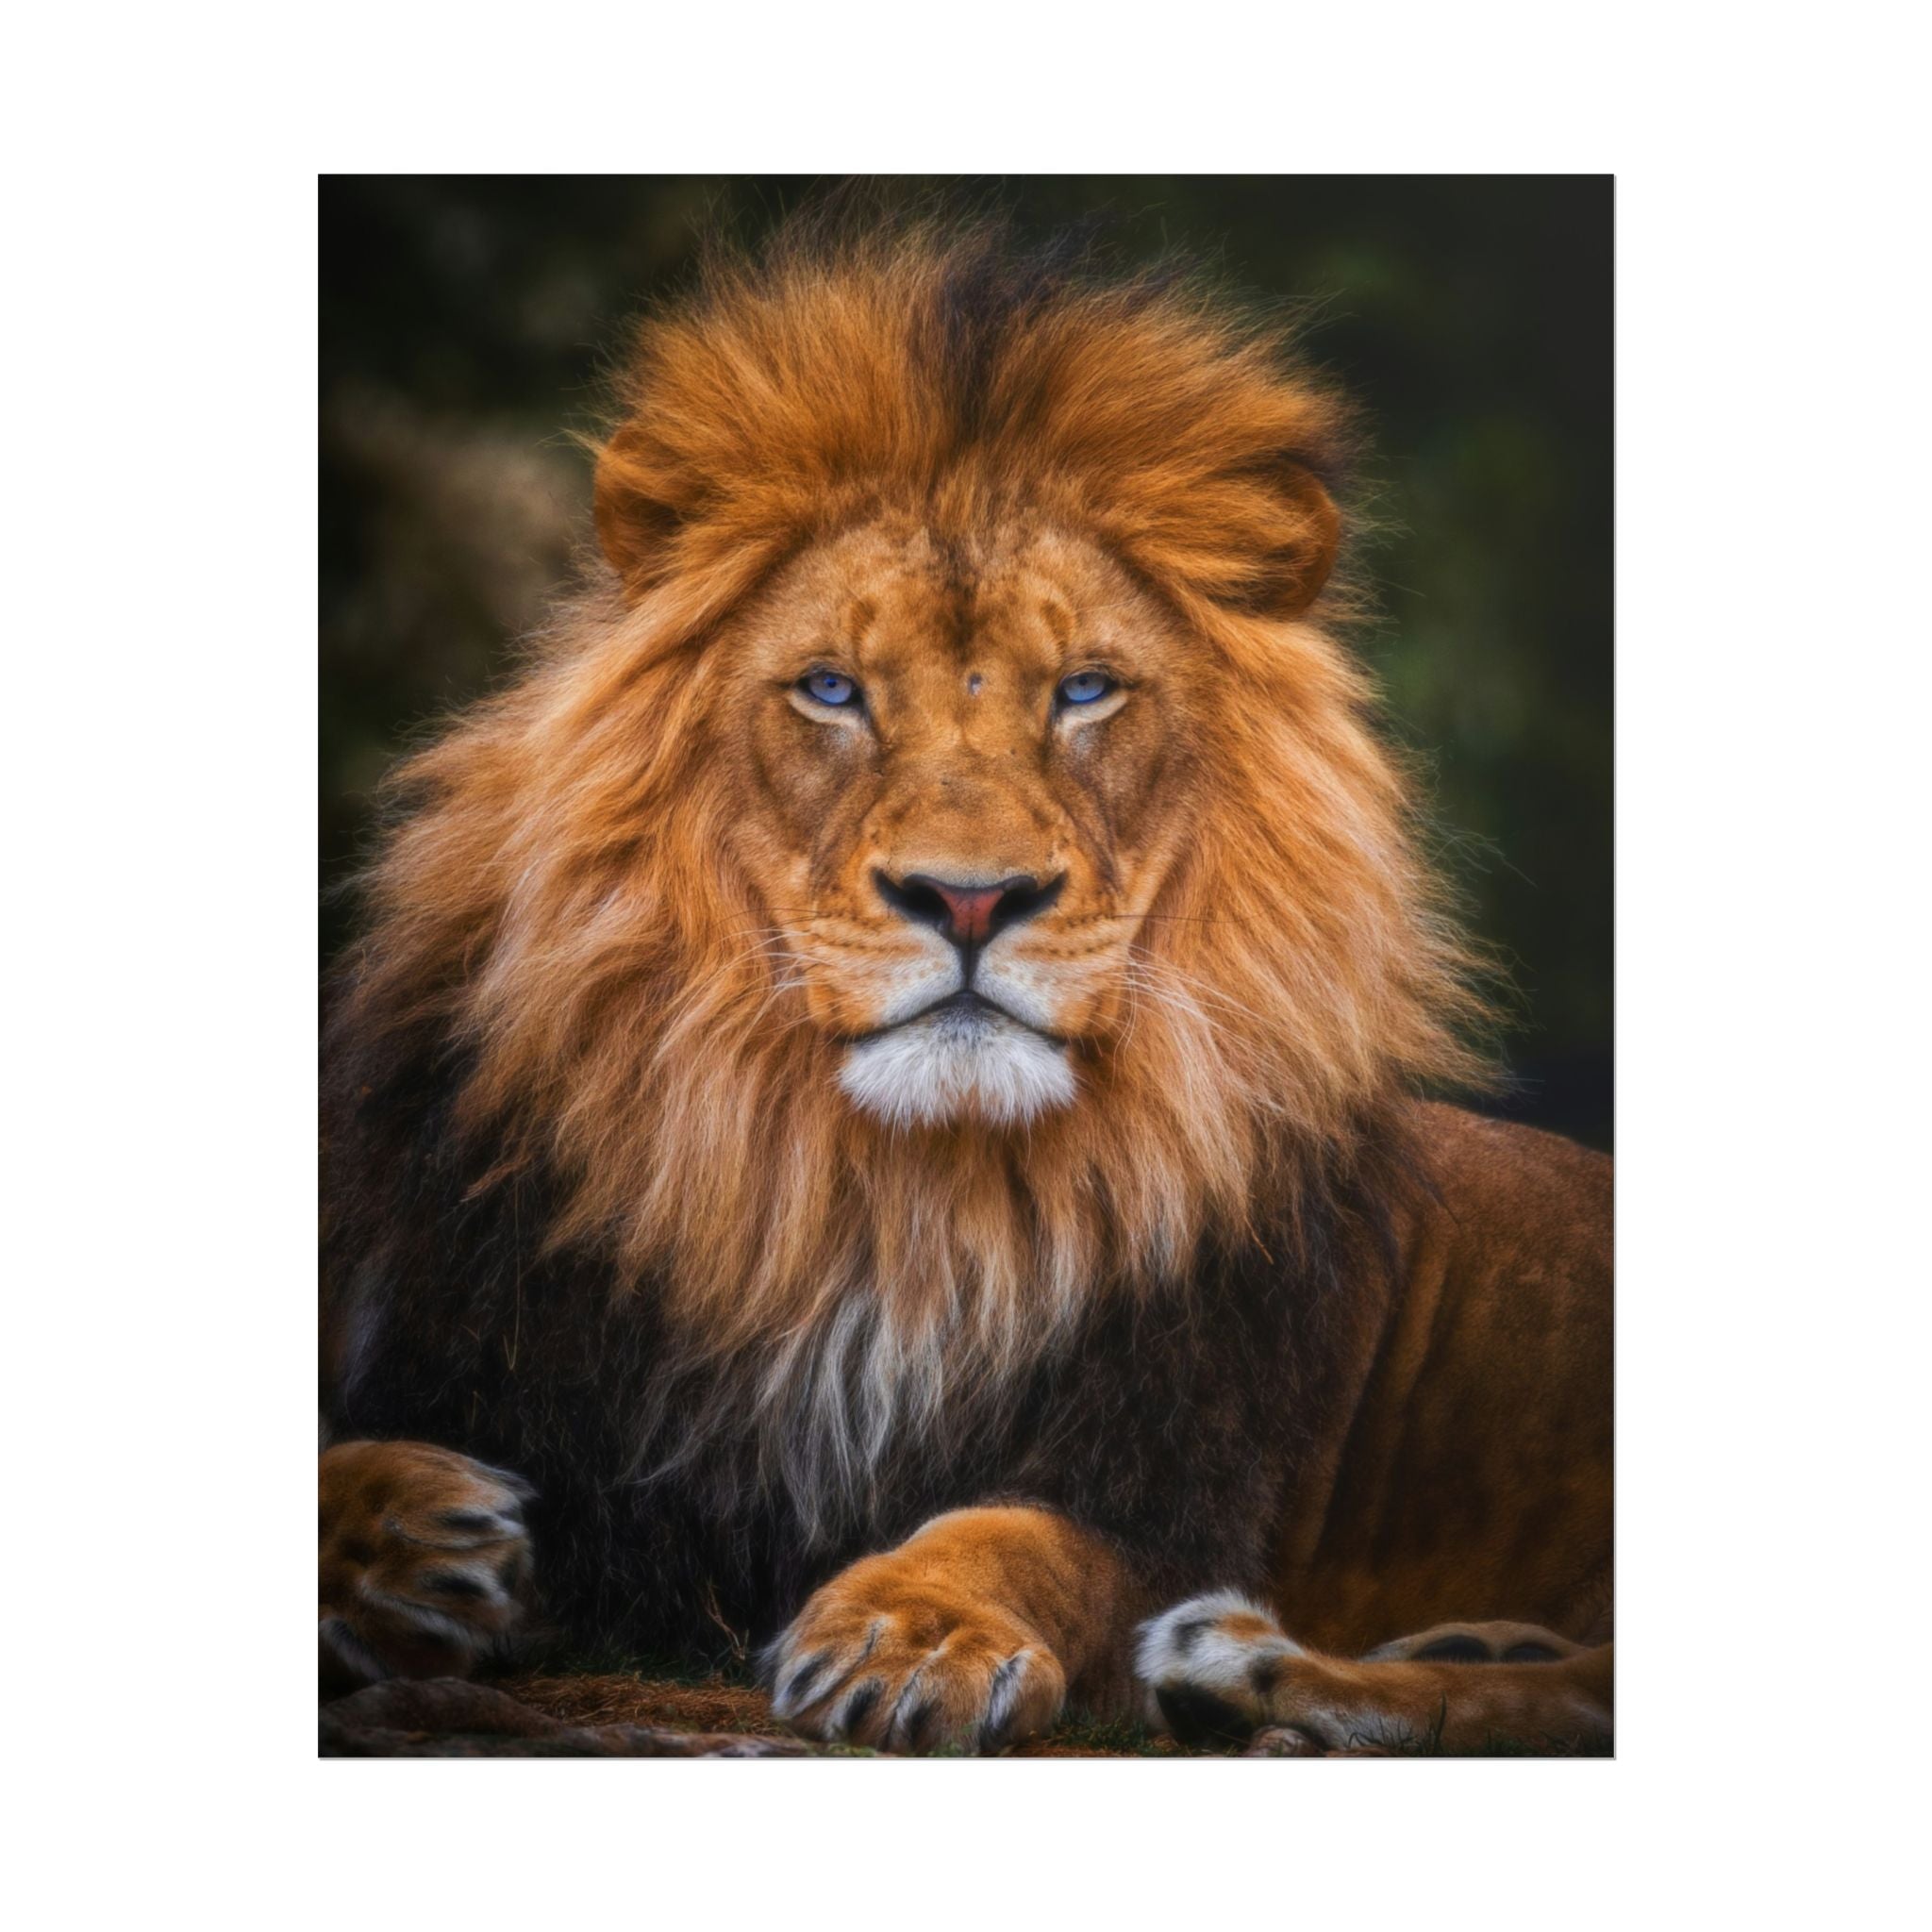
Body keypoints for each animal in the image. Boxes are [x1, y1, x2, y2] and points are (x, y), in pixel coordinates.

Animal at [320, 218, 1612, 1754]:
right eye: (830, 689)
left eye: (1085, 690)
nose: (972, 898)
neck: (880, 1203)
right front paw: (407, 1535)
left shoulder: (1169, 1484)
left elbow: (1016, 1535)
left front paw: (910, 1631)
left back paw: (1247, 1669)